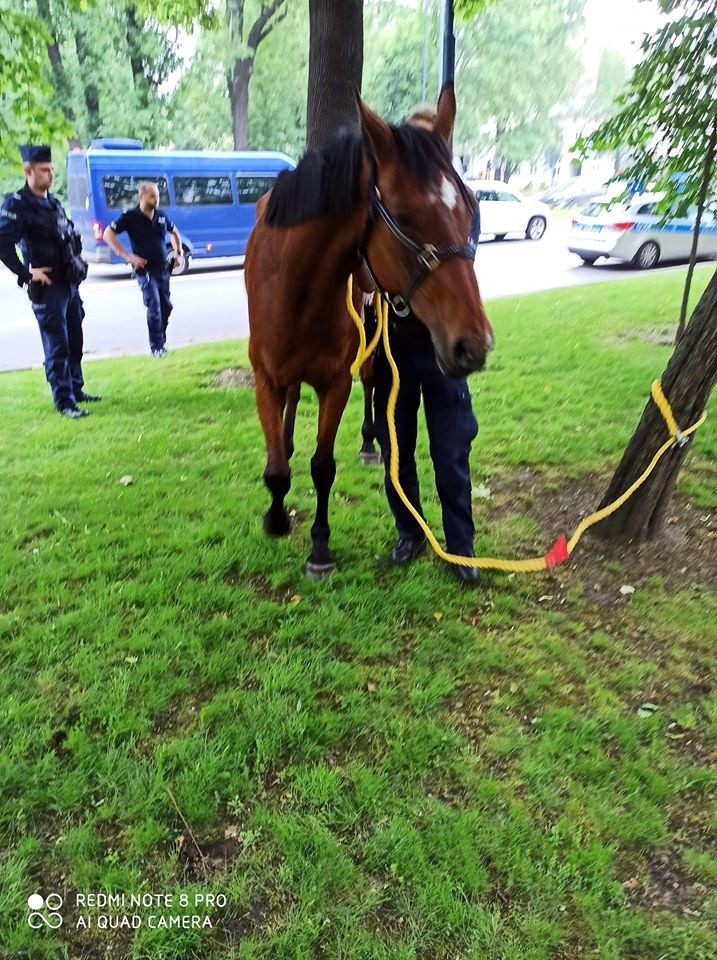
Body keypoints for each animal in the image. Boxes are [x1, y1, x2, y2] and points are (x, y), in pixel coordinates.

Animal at [246, 84, 492, 576]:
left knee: (373, 388)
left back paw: (367, 441)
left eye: (471, 207)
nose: (472, 345)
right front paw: (276, 517)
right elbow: (277, 468)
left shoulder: (337, 381)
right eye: (406, 215)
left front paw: (320, 548)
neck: (293, 287)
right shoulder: (264, 377)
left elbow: (323, 466)